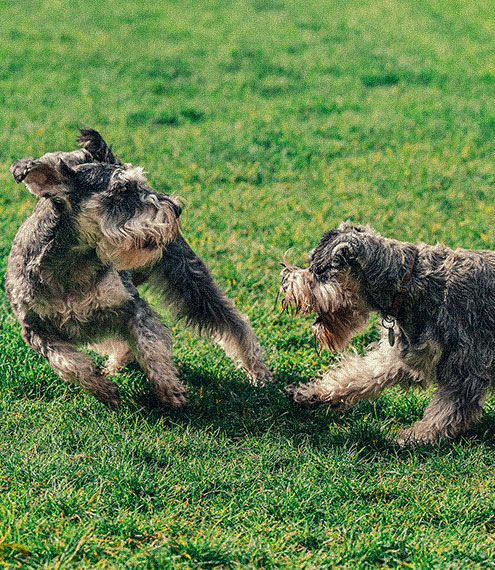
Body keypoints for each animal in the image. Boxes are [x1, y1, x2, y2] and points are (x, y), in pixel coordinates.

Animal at [5, 130, 272, 408]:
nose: (176, 208)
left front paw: (169, 388)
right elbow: (68, 364)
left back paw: (258, 371)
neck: (70, 266)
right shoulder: (35, 330)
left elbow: (149, 345)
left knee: (234, 322)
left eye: (141, 184)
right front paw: (104, 389)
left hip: (190, 279)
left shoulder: (131, 306)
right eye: (122, 189)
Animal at [280, 220, 495, 442]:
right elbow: (358, 375)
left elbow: (447, 411)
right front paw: (311, 393)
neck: (408, 283)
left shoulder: (465, 366)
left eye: (318, 270)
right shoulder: (403, 354)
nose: (285, 283)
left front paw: (415, 437)